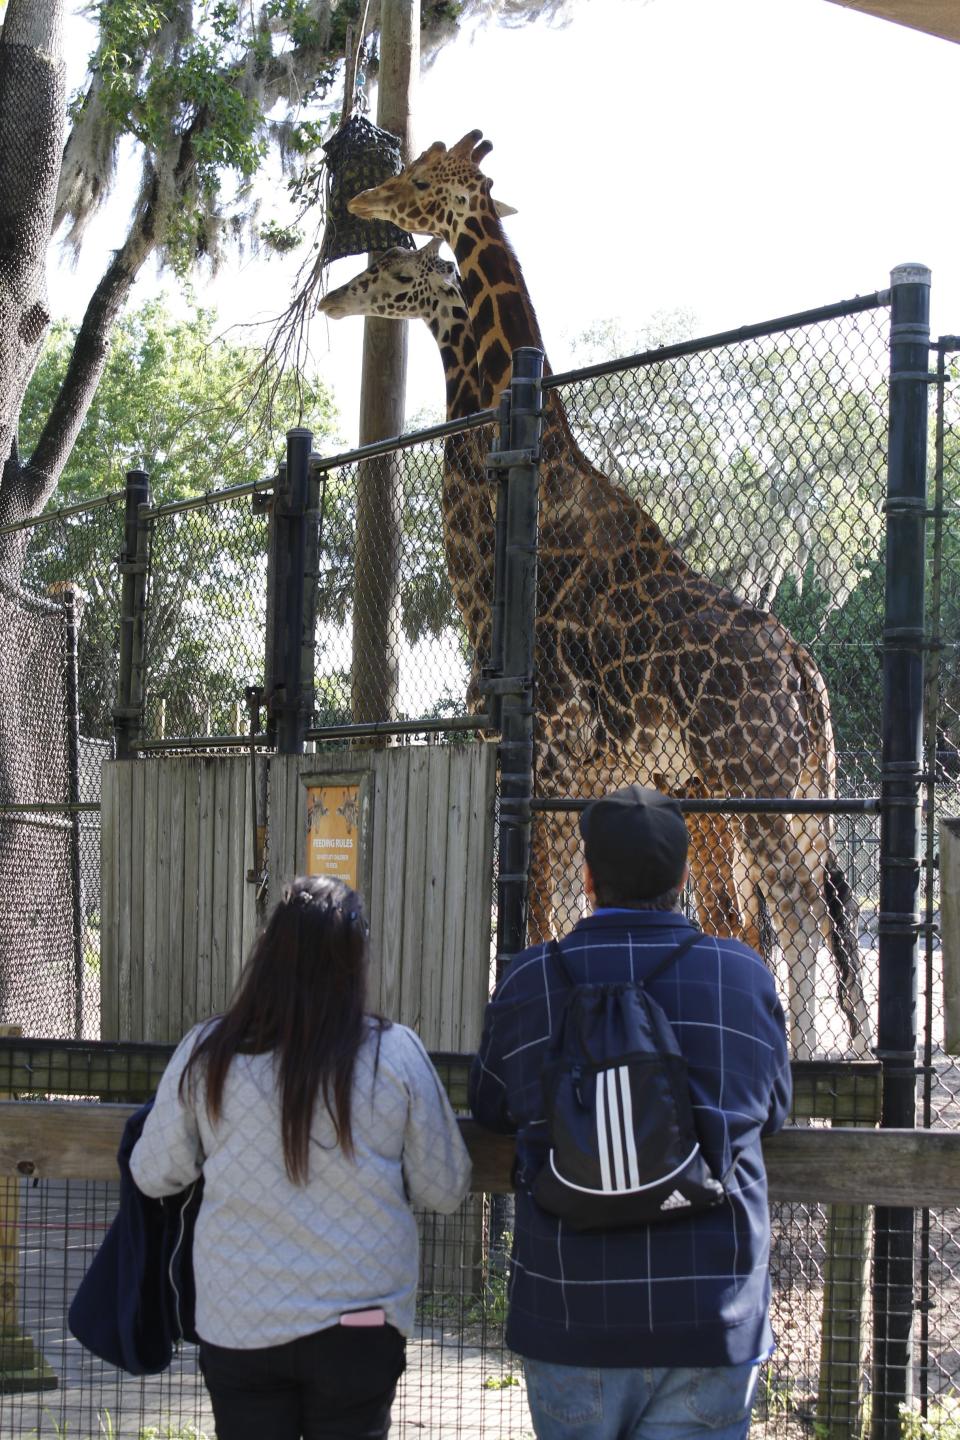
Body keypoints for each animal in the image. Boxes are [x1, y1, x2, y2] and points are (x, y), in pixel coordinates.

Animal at [315, 240, 759, 956]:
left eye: (399, 273)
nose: (332, 298)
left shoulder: (532, 763)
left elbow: (534, 906)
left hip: (713, 791)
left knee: (737, 915)